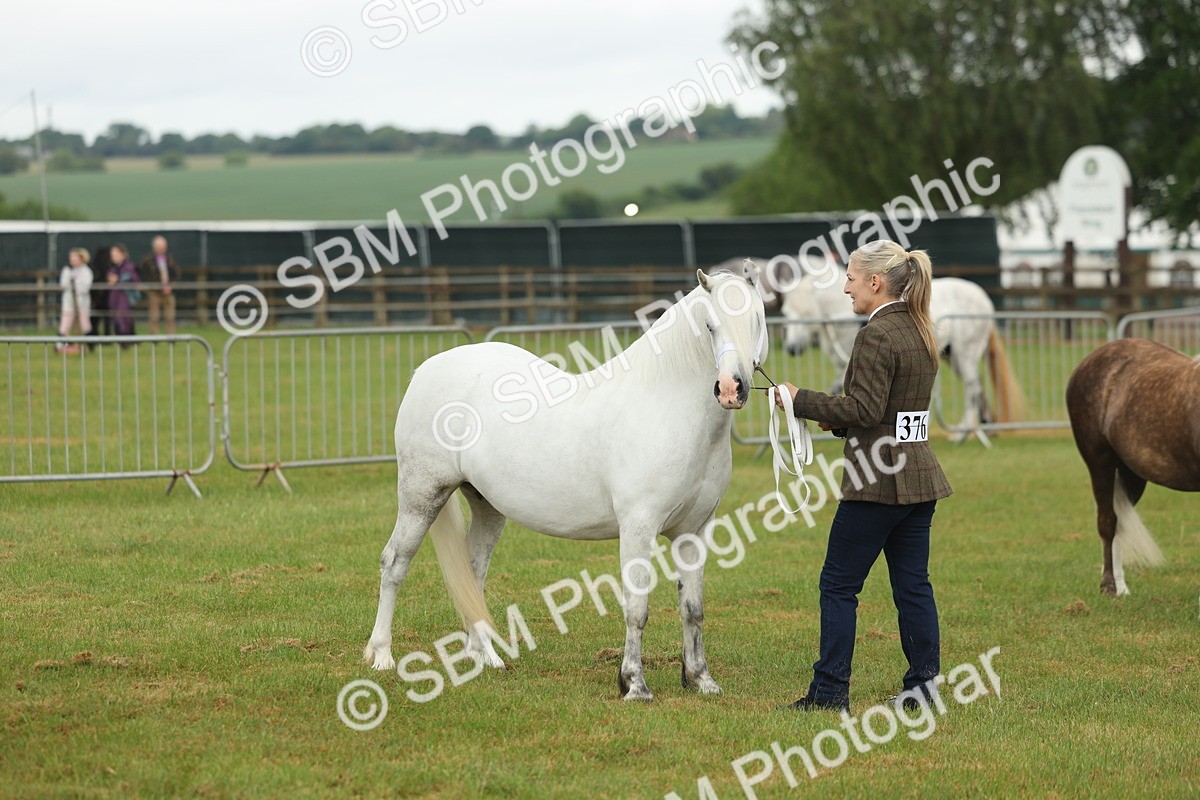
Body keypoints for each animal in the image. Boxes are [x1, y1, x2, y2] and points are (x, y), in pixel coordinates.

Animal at [363, 264, 768, 701]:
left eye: (757, 319)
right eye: (709, 325)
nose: (731, 389)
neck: (665, 407)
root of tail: (425, 370)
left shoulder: (694, 531)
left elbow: (693, 609)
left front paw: (700, 680)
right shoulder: (638, 527)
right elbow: (636, 608)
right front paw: (634, 684)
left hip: (487, 506)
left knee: (473, 574)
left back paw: (485, 658)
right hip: (422, 496)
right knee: (395, 563)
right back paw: (382, 655)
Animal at [777, 271, 1023, 442]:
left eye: (801, 314)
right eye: (786, 314)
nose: (791, 348)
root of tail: (984, 300)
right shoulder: (842, 366)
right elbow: (836, 388)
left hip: (966, 353)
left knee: (972, 388)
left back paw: (962, 433)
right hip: (952, 357)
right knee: (978, 386)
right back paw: (983, 428)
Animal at [1066, 338, 1200, 597]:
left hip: (1132, 473)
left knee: (1121, 521)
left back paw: (1121, 588)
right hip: (1100, 462)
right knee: (1108, 522)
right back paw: (1109, 586)